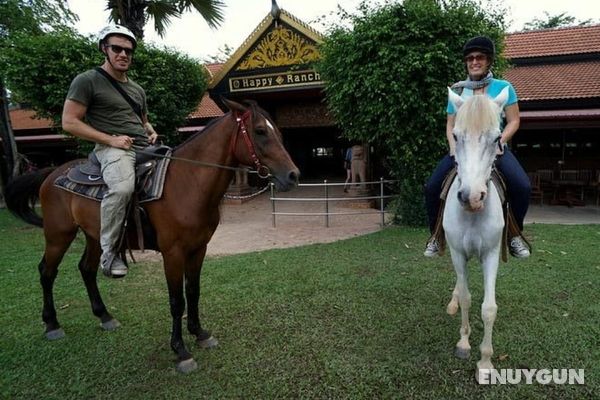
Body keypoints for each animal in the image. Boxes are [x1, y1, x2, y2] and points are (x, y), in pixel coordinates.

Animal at [4, 98, 300, 374]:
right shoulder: (173, 253)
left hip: (95, 236)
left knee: (86, 269)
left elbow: (193, 292)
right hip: (58, 235)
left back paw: (104, 316)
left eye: (278, 132)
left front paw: (200, 333)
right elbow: (176, 301)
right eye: (260, 131)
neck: (188, 183)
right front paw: (180, 350)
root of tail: (51, 173)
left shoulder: (198, 249)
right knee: (47, 272)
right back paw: (52, 324)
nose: (293, 175)